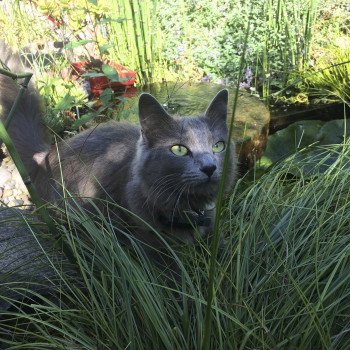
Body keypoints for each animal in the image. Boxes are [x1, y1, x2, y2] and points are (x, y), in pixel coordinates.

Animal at [0, 42, 235, 245]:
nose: (209, 167)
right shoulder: (143, 233)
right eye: (179, 149)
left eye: (218, 146)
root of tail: (46, 155)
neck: (189, 208)